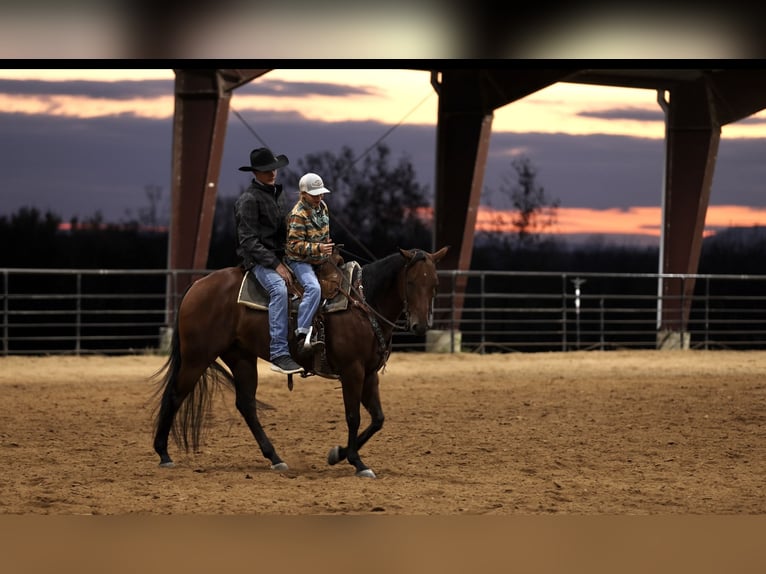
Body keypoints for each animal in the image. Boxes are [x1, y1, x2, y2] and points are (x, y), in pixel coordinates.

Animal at [151, 246, 449, 478]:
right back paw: (164, 454)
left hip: (241, 357)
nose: (420, 326)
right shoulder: (352, 371)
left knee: (246, 405)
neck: (362, 305)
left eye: (434, 284)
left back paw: (275, 458)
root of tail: (197, 286)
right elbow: (353, 416)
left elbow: (377, 419)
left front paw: (338, 454)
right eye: (410, 283)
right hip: (197, 357)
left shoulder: (369, 373)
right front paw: (357, 461)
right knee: (175, 395)